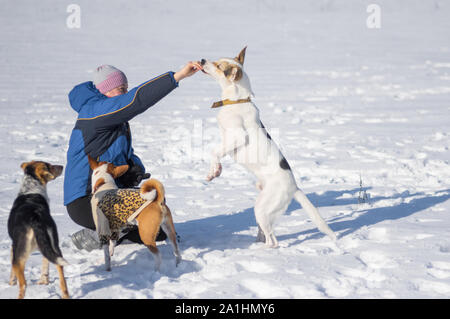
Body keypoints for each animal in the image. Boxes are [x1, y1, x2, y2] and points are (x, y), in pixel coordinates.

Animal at [7, 162, 69, 300]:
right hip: (55, 247)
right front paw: (44, 281)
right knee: (61, 274)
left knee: (23, 285)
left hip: (19, 257)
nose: (62, 166)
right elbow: (45, 263)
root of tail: (35, 217)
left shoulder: (13, 247)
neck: (31, 190)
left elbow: (12, 273)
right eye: (50, 166)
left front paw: (11, 283)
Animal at [201, 47, 338, 248]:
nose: (202, 60)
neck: (237, 100)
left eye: (219, 66)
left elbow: (215, 152)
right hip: (262, 205)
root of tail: (294, 187)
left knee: (273, 241)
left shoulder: (236, 137)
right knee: (266, 233)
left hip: (262, 208)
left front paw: (214, 171)